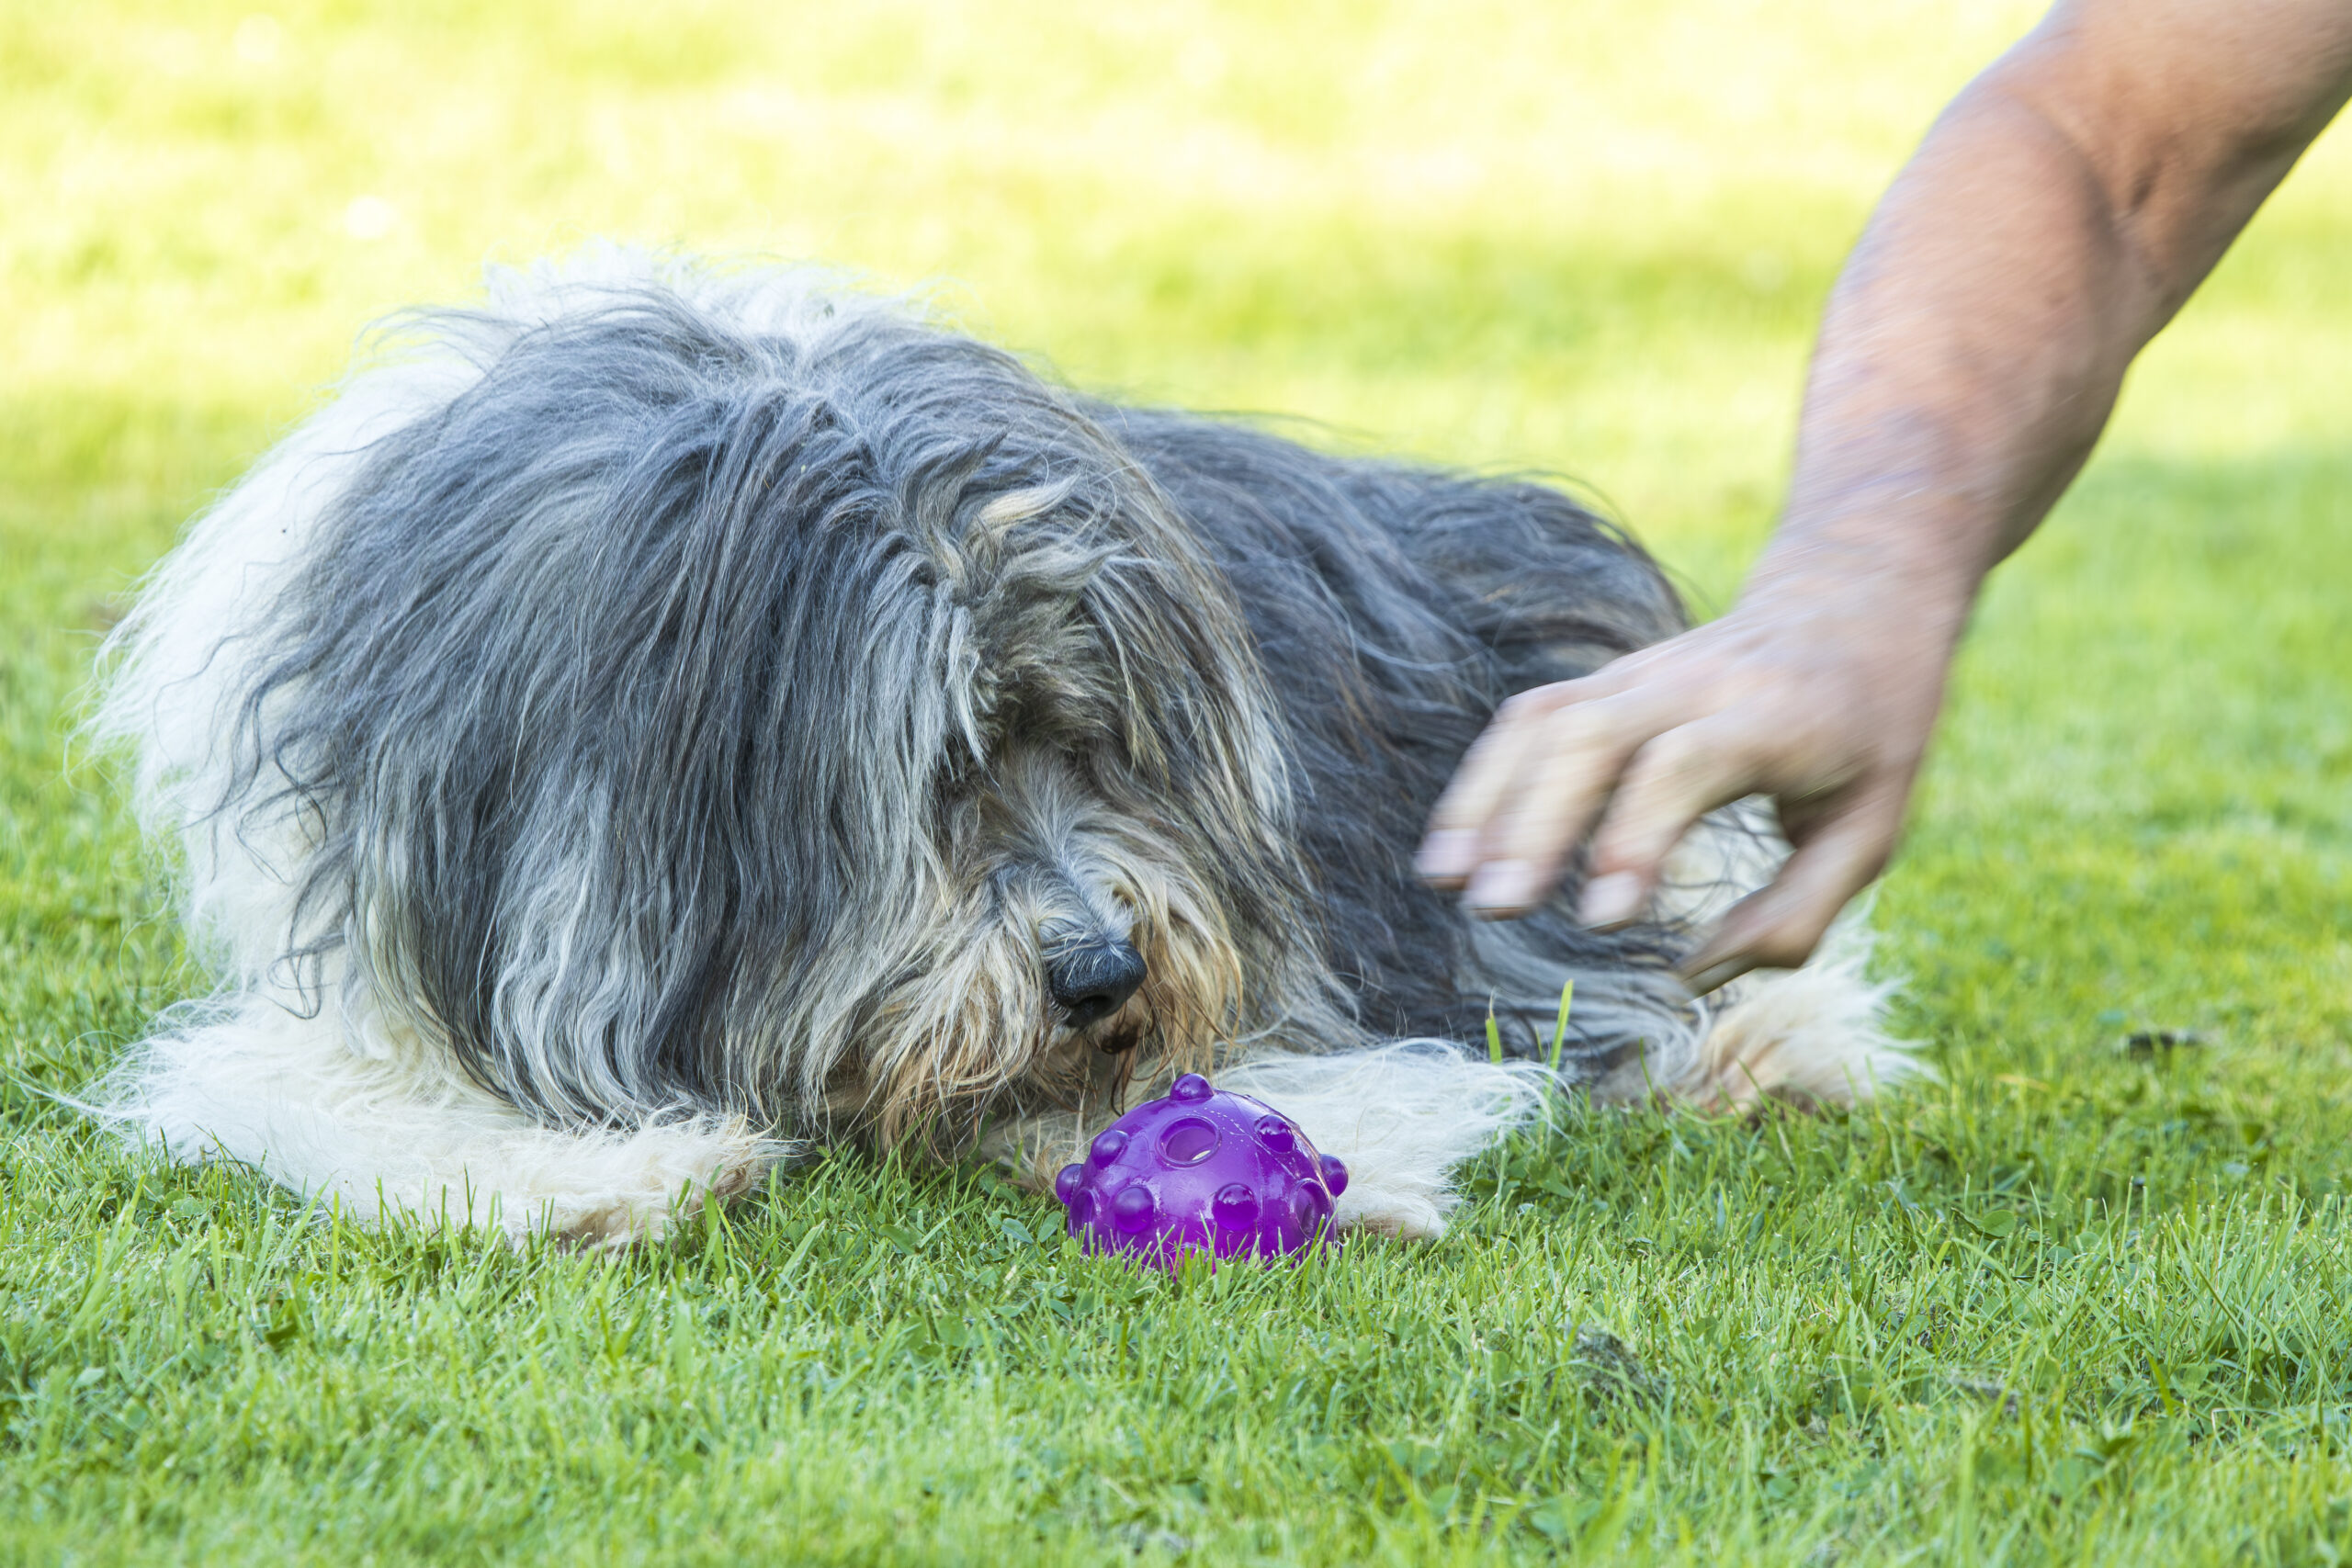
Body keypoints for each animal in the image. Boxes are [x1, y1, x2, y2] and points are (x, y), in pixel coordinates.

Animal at [91, 251, 1914, 1246]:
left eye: (1097, 747)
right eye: (937, 771)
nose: (1103, 972)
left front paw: (1346, 1154)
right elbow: (289, 1083)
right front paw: (601, 1176)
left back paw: (1765, 1045)